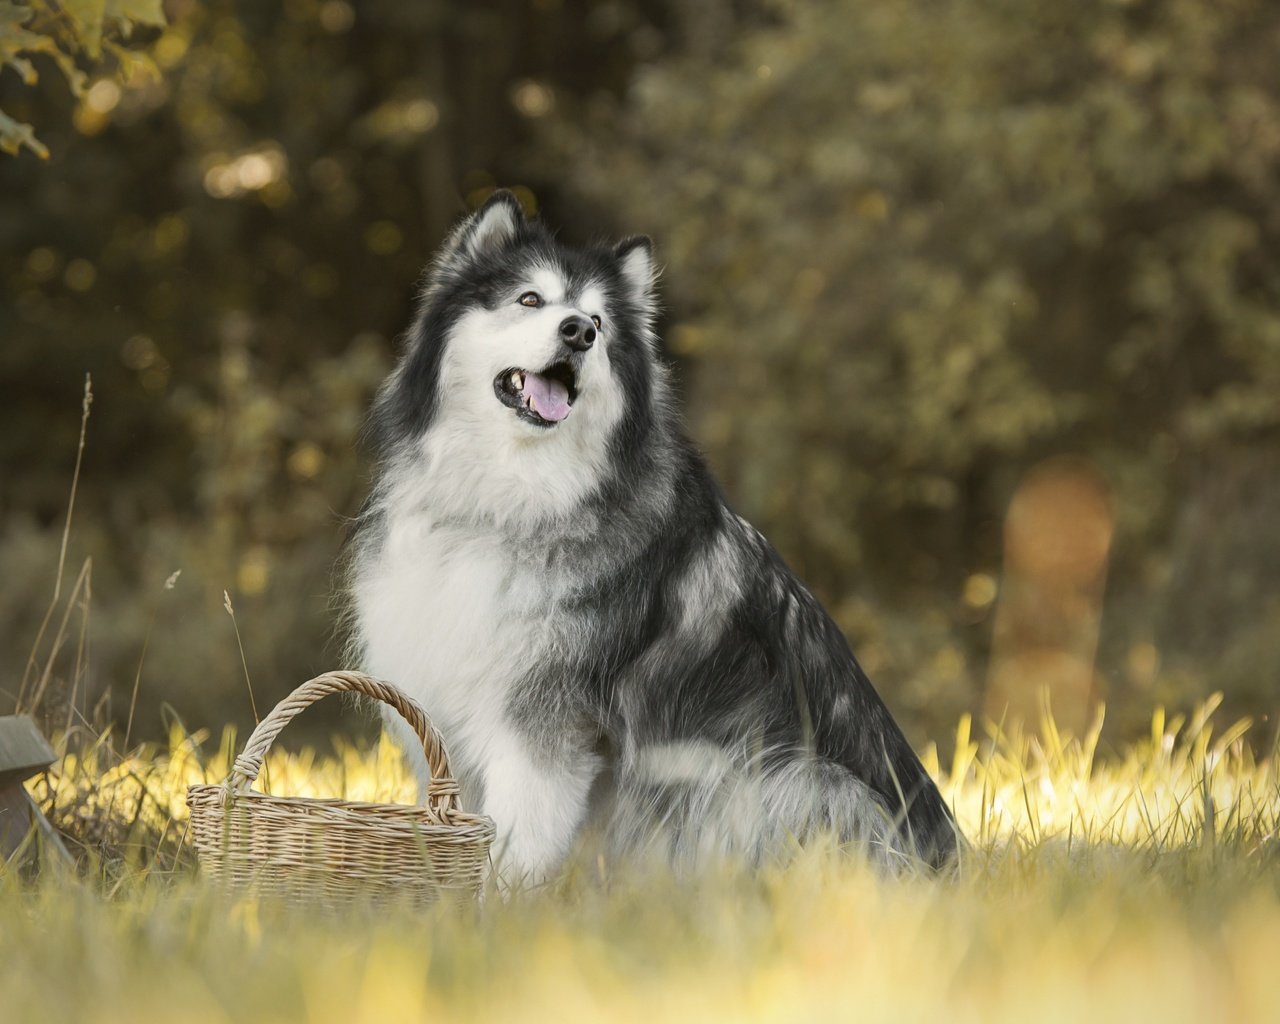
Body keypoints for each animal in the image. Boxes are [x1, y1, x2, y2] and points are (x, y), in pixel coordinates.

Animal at [350, 189, 962, 880]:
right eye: (530, 299)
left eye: (598, 320)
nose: (579, 332)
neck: (517, 499)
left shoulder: (541, 730)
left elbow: (515, 845)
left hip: (789, 779)